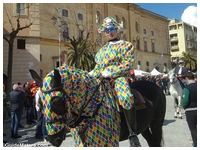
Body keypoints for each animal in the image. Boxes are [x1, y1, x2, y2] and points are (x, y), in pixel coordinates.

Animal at [28, 65, 166, 146]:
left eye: (56, 102)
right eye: (40, 103)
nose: (52, 139)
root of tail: (155, 85)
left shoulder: (109, 142)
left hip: (156, 124)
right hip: (144, 126)